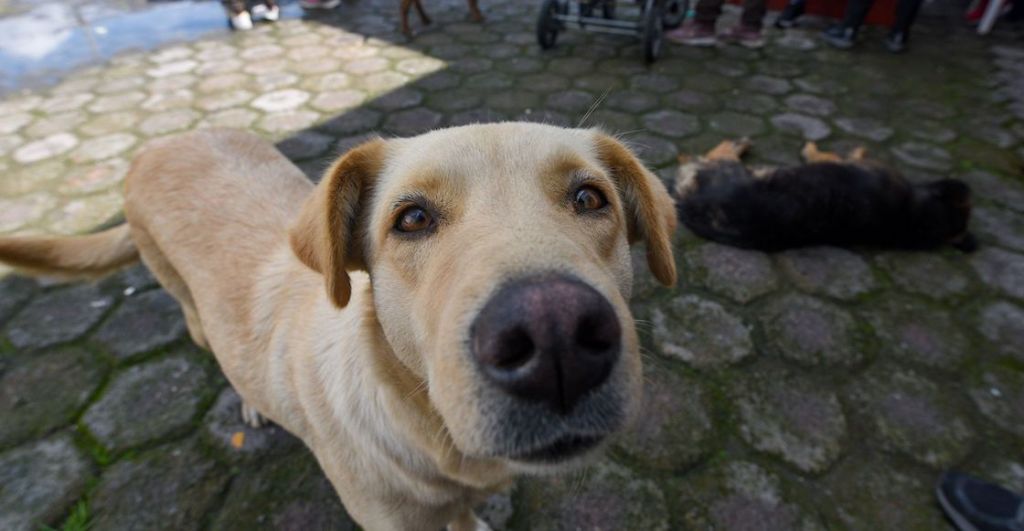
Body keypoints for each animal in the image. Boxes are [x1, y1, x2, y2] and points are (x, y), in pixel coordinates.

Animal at [0, 124, 675, 531]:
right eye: (412, 218)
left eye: (589, 199)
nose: (555, 334)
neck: (432, 438)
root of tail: (160, 144)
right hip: (187, 305)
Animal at [671, 141, 974, 253]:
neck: (912, 216)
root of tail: (687, 203)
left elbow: (825, 154)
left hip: (727, 166)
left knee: (718, 150)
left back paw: (737, 144)